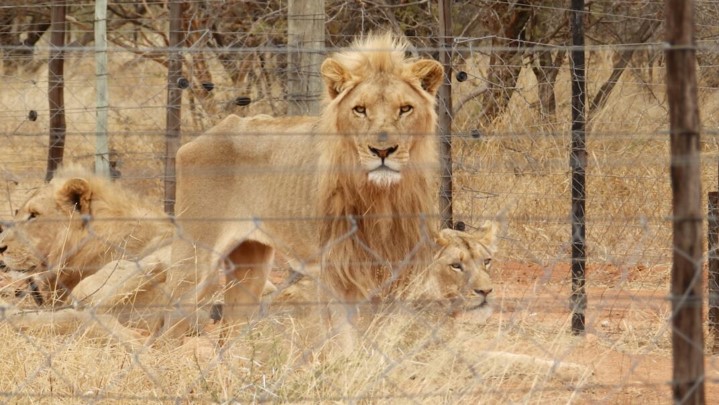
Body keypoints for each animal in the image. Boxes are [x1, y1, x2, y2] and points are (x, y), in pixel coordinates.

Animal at [164, 31, 445, 346]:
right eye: (360, 110)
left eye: (405, 108)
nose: (382, 151)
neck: (382, 197)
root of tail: (211, 132)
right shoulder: (335, 271)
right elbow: (345, 341)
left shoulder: (400, 270)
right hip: (193, 259)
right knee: (168, 326)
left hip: (250, 265)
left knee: (232, 329)